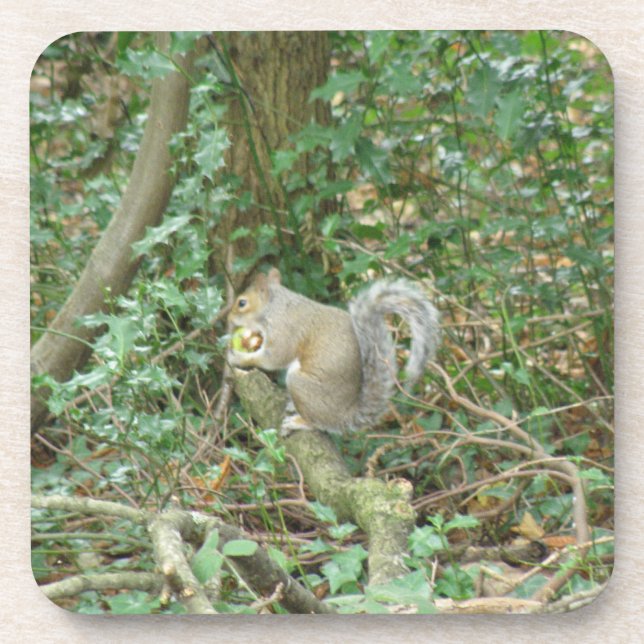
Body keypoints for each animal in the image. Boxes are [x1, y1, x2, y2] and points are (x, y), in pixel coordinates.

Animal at [227, 268, 440, 433]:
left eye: (242, 303)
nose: (229, 318)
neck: (275, 307)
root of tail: (344, 415)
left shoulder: (285, 330)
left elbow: (273, 358)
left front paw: (239, 357)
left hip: (300, 385)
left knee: (318, 423)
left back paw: (299, 422)